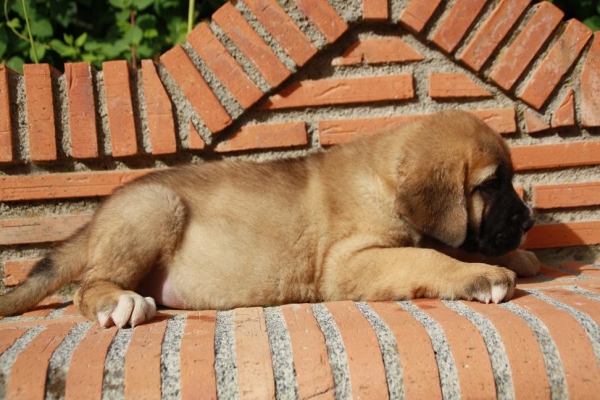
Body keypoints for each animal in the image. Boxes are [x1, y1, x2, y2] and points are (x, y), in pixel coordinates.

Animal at [0, 108, 540, 324]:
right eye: (491, 185)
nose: (530, 222)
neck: (385, 181)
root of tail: (97, 216)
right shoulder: (347, 264)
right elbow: (428, 257)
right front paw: (484, 274)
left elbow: (444, 248)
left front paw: (523, 258)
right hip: (155, 206)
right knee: (89, 286)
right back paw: (120, 303)